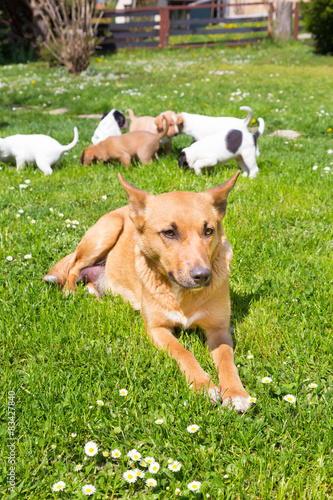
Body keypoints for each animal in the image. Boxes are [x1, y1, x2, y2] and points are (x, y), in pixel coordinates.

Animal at [44, 172, 252, 414]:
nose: (203, 276)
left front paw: (236, 392)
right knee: (73, 267)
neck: (181, 294)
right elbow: (183, 352)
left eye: (208, 231)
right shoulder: (157, 329)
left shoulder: (219, 328)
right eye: (169, 232)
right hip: (105, 232)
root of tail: (126, 208)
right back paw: (71, 292)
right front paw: (202, 384)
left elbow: (227, 359)